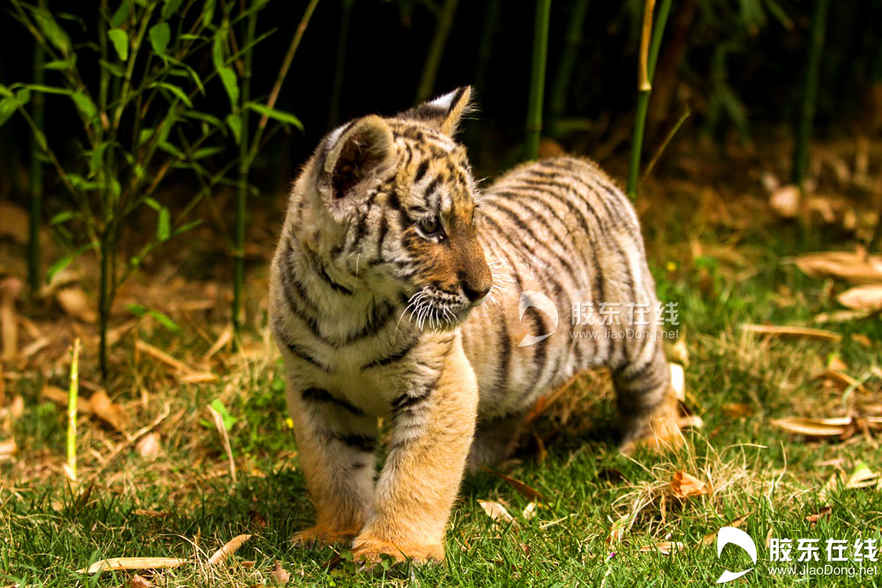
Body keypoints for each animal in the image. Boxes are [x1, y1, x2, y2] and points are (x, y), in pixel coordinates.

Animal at [268, 86, 681, 563]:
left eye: (473, 219)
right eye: (430, 227)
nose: (482, 290)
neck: (346, 301)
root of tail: (581, 164)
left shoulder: (438, 382)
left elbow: (415, 472)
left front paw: (393, 549)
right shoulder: (317, 390)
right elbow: (332, 469)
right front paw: (337, 531)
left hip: (632, 325)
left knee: (652, 380)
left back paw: (655, 441)